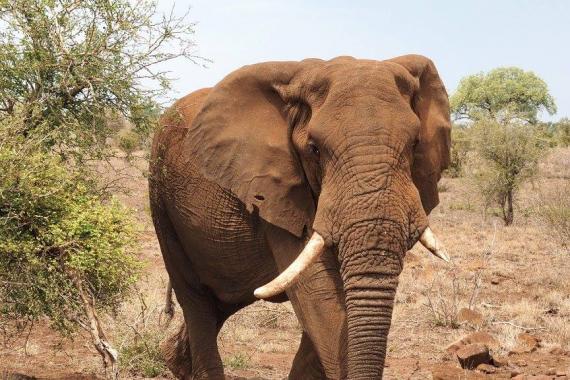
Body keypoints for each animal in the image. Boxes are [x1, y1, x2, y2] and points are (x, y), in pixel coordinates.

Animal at [149, 54, 450, 380]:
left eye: (415, 144)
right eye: (314, 149)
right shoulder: (276, 190)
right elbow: (318, 295)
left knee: (224, 299)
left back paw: (175, 360)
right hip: (161, 199)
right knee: (196, 299)